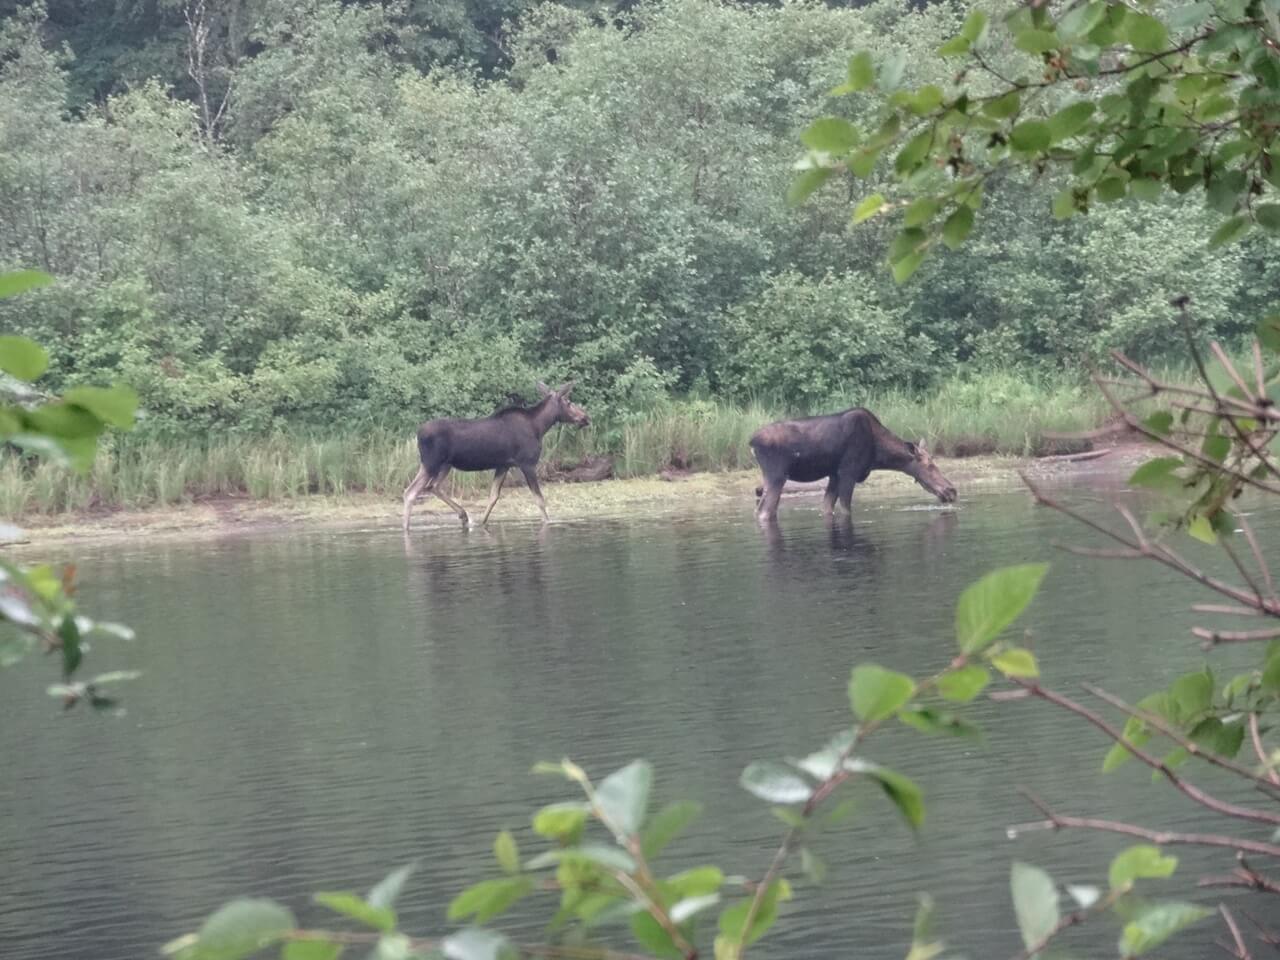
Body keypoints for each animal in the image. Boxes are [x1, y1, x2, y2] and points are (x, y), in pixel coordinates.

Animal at [401, 381, 591, 535]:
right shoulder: (527, 464)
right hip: (432, 463)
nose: (585, 417)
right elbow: (539, 499)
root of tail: (418, 434)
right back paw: (406, 528)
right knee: (411, 491)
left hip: (443, 465)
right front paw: (548, 523)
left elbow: (493, 497)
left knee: (432, 486)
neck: (539, 427)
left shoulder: (503, 465)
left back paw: (463, 515)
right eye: (569, 402)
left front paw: (482, 523)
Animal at [747, 407, 962, 527]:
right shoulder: (848, 472)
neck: (878, 456)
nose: (952, 490)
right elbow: (846, 510)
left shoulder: (834, 475)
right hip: (776, 475)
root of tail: (751, 442)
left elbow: (827, 508)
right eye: (930, 465)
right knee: (764, 511)